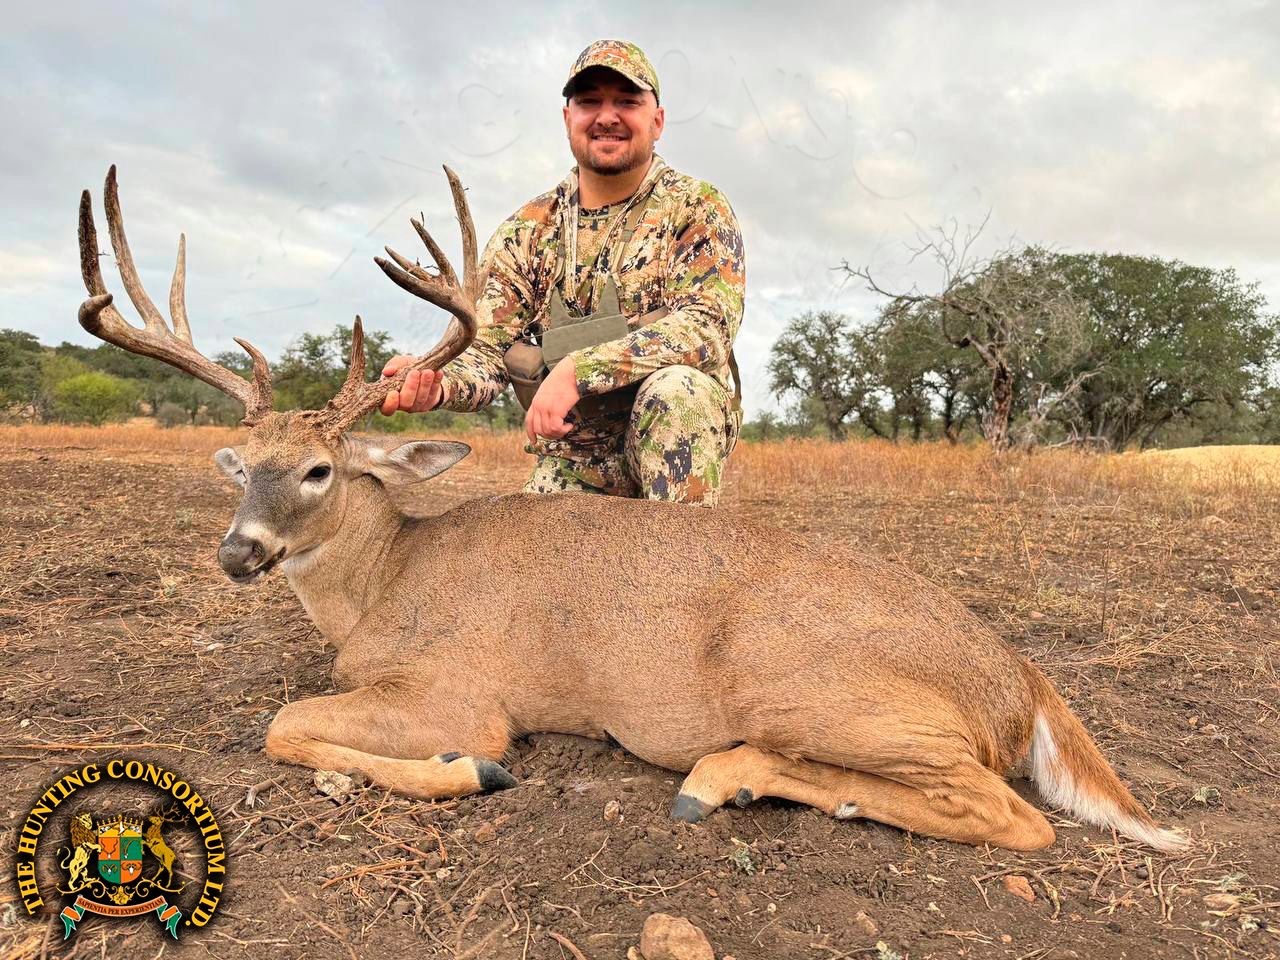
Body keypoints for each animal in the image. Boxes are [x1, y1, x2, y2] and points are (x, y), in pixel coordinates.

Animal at [74, 165, 1188, 854]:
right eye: (241, 468)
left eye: (317, 471)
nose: (238, 552)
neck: (384, 587)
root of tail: (1022, 679)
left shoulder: (463, 690)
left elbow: (287, 725)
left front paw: (470, 773)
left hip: (802, 682)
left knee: (1011, 813)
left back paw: (718, 778)